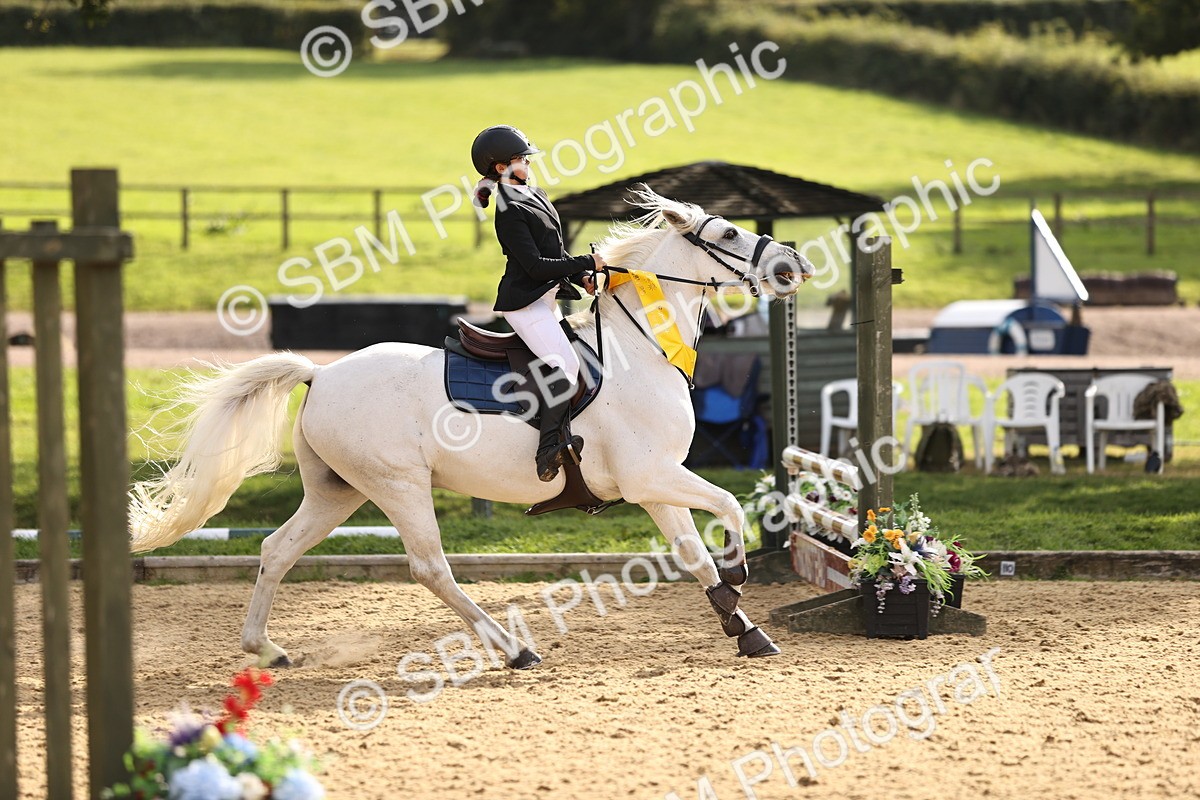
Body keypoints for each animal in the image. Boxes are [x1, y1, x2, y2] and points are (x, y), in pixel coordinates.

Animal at [129, 187, 814, 669]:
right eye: (728, 231)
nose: (794, 264)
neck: (639, 349)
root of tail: (320, 375)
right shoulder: (651, 475)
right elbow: (728, 506)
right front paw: (740, 574)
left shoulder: (654, 482)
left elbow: (693, 553)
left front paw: (743, 628)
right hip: (399, 485)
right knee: (431, 568)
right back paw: (513, 649)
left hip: (338, 491)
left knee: (277, 549)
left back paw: (266, 649)